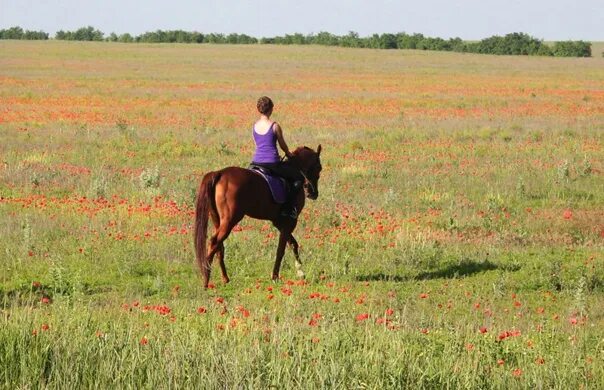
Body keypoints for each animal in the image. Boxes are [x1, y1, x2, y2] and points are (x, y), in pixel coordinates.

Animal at [196, 145, 324, 288]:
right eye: (319, 167)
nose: (313, 193)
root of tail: (219, 173)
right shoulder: (289, 221)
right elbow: (281, 249)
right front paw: (276, 277)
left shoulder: (279, 222)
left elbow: (293, 244)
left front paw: (300, 272)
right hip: (230, 220)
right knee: (214, 242)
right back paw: (206, 280)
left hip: (217, 219)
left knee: (219, 246)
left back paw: (225, 278)